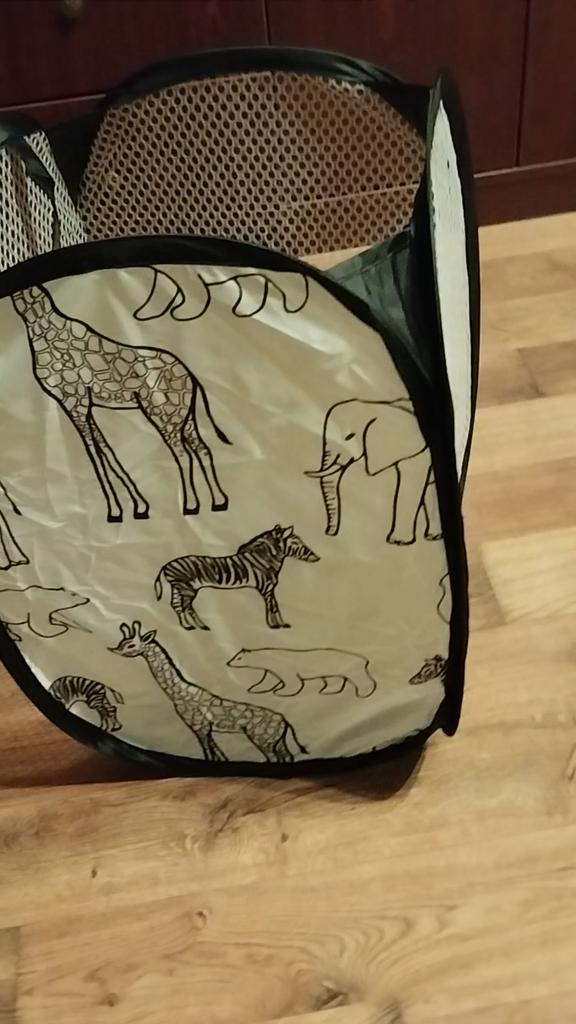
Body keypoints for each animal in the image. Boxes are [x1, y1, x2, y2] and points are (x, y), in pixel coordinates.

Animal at [10, 285, 230, 522]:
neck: (37, 322)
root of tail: (191, 376)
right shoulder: (82, 404)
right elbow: (107, 450)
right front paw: (138, 507)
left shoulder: (74, 399)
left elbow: (94, 454)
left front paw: (115, 511)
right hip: (183, 416)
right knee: (203, 449)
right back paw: (218, 502)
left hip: (163, 413)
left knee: (183, 454)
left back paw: (191, 506)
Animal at [110, 621, 307, 763]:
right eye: (122, 642)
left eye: (131, 645)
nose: (113, 650)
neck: (180, 694)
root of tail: (285, 722)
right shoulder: (204, 729)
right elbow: (217, 753)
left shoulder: (199, 726)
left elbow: (208, 753)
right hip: (277, 741)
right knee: (287, 757)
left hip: (262, 739)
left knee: (273, 758)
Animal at [154, 524, 320, 630]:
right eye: (296, 542)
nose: (317, 558)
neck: (265, 560)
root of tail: (165, 565)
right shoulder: (266, 588)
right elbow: (271, 606)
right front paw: (273, 625)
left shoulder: (270, 589)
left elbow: (275, 605)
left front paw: (282, 624)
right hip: (186, 588)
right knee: (184, 606)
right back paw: (193, 626)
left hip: (180, 587)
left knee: (178, 605)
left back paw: (195, 626)